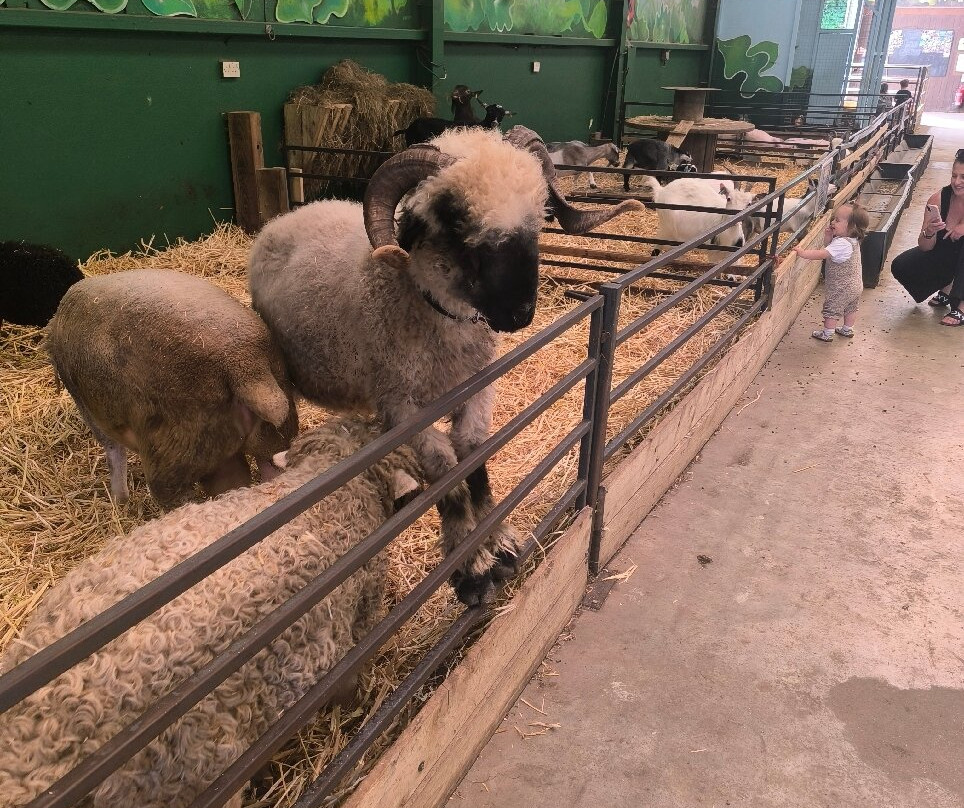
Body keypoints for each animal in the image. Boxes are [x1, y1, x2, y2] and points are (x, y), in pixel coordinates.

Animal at [46, 268, 298, 508]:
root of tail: (246, 366)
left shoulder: (88, 408)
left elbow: (113, 451)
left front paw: (119, 501)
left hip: (173, 452)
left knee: (173, 495)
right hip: (269, 434)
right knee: (259, 474)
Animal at [248, 126, 642, 606]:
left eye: (540, 215)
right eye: (457, 221)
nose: (520, 314)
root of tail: (286, 218)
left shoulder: (477, 386)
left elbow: (475, 457)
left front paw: (499, 541)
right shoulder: (401, 407)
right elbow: (447, 477)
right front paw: (470, 569)